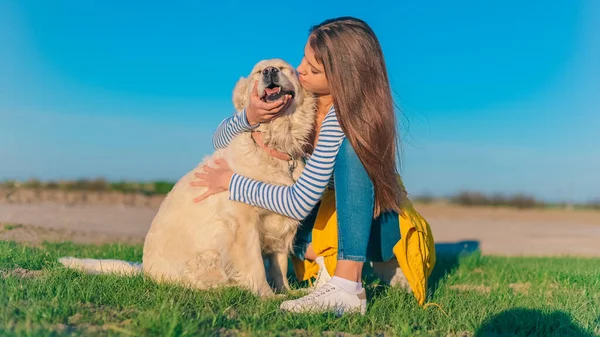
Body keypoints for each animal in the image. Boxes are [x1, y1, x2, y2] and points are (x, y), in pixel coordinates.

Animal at [58, 57, 316, 296]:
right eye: (257, 71)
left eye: (283, 68)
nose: (269, 71)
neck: (275, 146)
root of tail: (145, 271)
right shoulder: (243, 223)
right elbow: (255, 265)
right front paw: (265, 296)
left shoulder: (281, 220)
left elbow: (279, 264)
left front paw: (286, 292)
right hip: (207, 256)